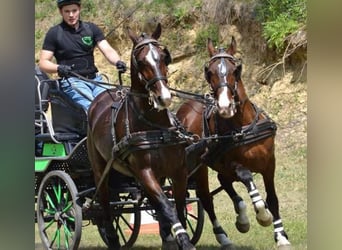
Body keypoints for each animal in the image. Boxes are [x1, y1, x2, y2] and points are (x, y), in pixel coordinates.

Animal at [87, 22, 195, 249]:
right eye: (141, 60)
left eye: (164, 57)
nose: (164, 97)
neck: (155, 126)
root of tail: (97, 100)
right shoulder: (145, 171)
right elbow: (168, 206)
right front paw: (183, 239)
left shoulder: (178, 170)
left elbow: (178, 206)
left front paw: (175, 238)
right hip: (101, 170)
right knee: (105, 205)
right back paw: (112, 238)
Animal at [176, 37, 292, 250]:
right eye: (209, 72)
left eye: (235, 70)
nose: (224, 107)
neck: (243, 126)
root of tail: (184, 108)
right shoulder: (232, 164)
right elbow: (248, 178)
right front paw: (263, 215)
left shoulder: (269, 164)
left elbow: (272, 199)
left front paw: (281, 236)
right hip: (199, 166)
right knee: (206, 198)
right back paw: (223, 236)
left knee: (224, 182)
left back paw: (242, 217)